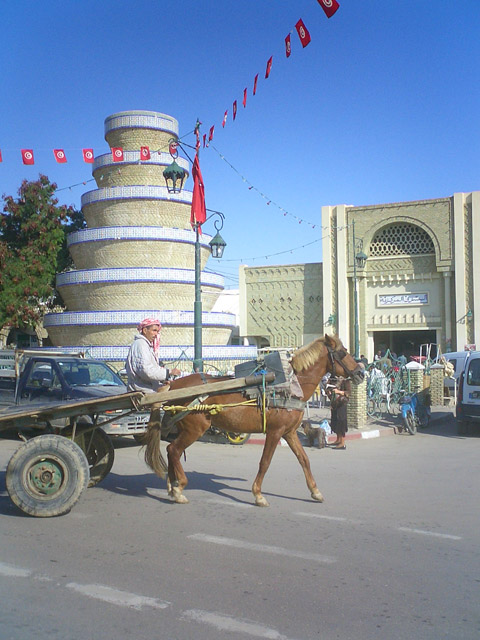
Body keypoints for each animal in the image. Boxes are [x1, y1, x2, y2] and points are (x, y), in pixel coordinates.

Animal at [142, 332, 364, 508]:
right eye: (343, 352)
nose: (361, 372)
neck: (290, 385)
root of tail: (174, 385)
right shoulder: (275, 432)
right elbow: (265, 462)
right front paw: (258, 495)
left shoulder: (289, 432)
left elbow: (304, 460)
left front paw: (315, 491)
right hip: (195, 429)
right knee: (174, 450)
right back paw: (179, 487)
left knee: (172, 452)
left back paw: (172, 486)